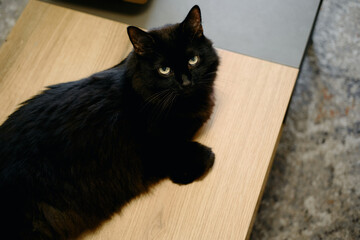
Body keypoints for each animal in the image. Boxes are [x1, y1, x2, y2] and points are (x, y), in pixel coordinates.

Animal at [0, 5, 219, 240]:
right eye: (164, 70)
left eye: (193, 60)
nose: (186, 82)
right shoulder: (151, 151)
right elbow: (190, 153)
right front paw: (196, 164)